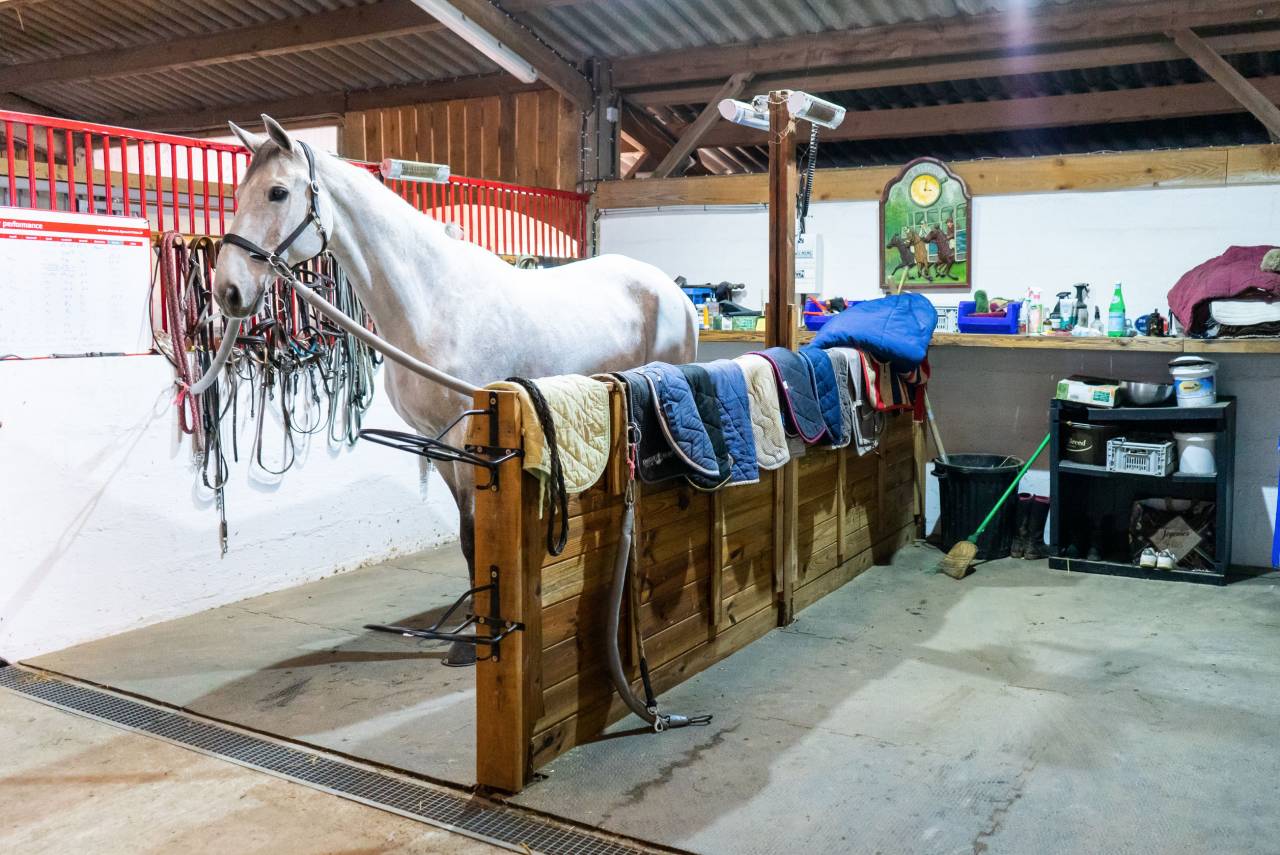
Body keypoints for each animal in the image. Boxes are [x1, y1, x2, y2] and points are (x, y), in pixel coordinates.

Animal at [213, 116, 697, 665]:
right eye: (237, 193)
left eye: (277, 192)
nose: (227, 292)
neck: (431, 302)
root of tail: (672, 289)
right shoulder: (436, 442)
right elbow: (465, 537)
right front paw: (465, 626)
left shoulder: (470, 440)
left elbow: (473, 533)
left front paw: (472, 639)